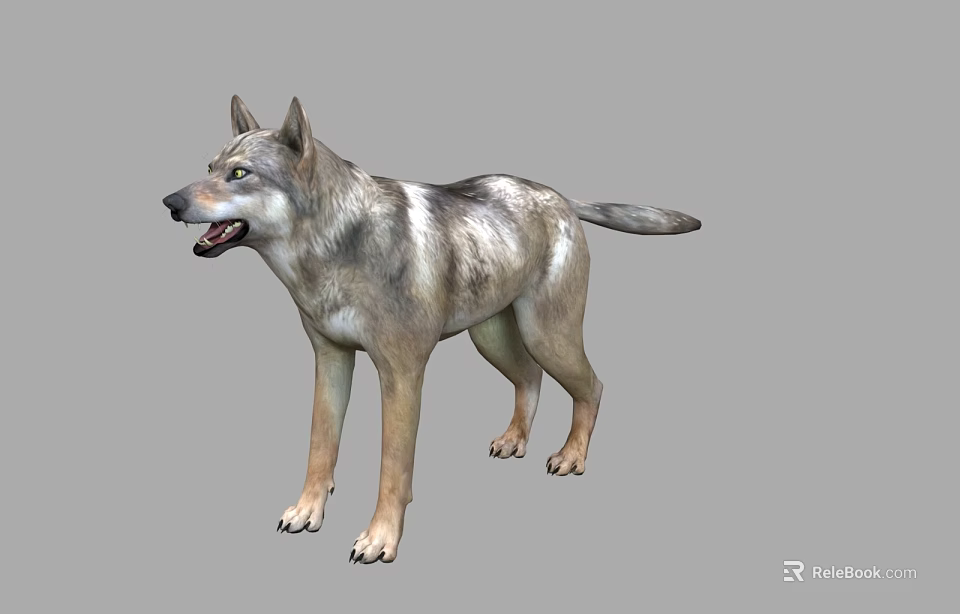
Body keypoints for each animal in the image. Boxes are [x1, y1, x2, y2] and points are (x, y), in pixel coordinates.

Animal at [161, 95, 701, 564]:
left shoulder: (401, 374)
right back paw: (514, 441)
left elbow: (392, 468)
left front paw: (380, 540)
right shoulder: (331, 360)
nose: (169, 201)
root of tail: (559, 196)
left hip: (548, 336)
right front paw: (307, 511)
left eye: (239, 174)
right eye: (209, 167)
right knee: (530, 378)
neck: (334, 245)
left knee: (593, 386)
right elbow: (320, 445)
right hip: (493, 339)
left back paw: (571, 456)